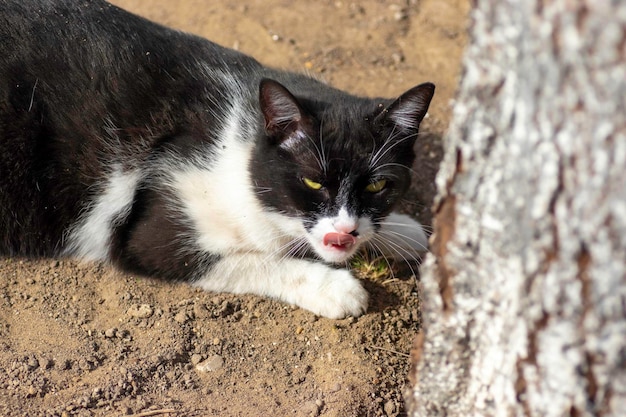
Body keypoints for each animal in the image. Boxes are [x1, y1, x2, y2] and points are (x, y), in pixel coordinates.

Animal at [0, 0, 432, 318]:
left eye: (378, 185)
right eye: (312, 181)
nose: (345, 232)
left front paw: (405, 230)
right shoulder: (150, 232)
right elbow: (252, 261)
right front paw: (335, 288)